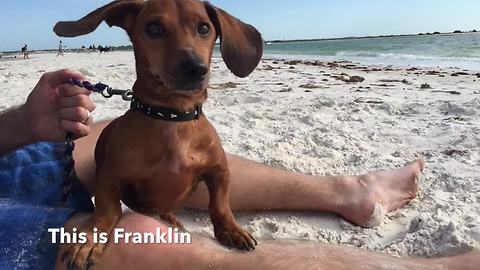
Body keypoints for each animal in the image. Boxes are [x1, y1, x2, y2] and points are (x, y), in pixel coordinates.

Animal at [54, 0, 264, 268]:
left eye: (204, 28)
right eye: (153, 28)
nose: (195, 68)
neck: (171, 117)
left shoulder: (219, 170)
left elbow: (220, 205)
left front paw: (232, 229)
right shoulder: (110, 176)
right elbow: (107, 210)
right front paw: (90, 238)